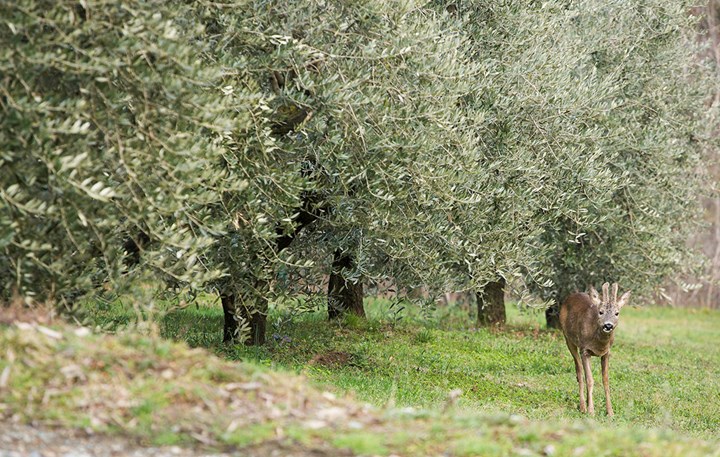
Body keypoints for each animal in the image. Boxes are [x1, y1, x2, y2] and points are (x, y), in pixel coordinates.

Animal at [556, 280, 632, 416]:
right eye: (600, 312)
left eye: (617, 313)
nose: (608, 325)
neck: (599, 344)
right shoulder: (585, 350)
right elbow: (590, 380)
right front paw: (591, 411)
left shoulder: (607, 353)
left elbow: (605, 380)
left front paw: (610, 411)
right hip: (568, 339)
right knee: (579, 372)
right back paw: (583, 407)